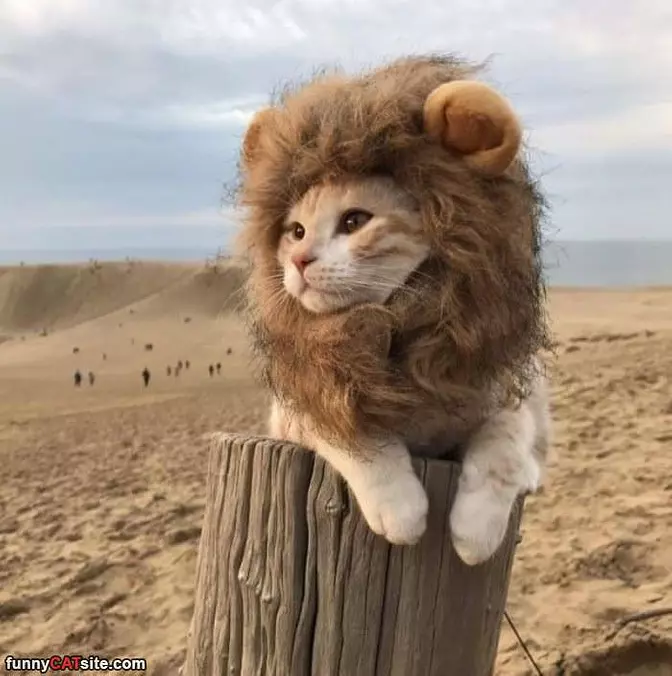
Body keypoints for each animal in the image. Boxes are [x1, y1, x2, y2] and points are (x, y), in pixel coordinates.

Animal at [234, 54, 552, 565]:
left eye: (355, 221)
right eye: (295, 231)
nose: (299, 261)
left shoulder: (505, 398)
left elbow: (502, 449)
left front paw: (475, 532)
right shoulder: (307, 406)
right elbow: (359, 439)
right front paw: (401, 511)